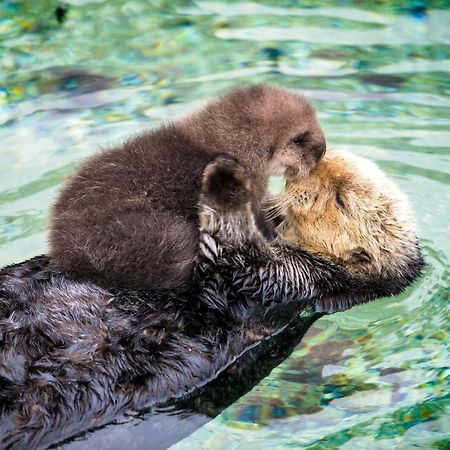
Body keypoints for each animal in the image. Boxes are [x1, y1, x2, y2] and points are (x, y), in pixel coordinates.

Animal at [48, 84, 326, 290]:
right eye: (298, 139)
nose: (322, 149)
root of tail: (63, 249)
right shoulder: (250, 188)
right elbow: (261, 223)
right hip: (150, 234)